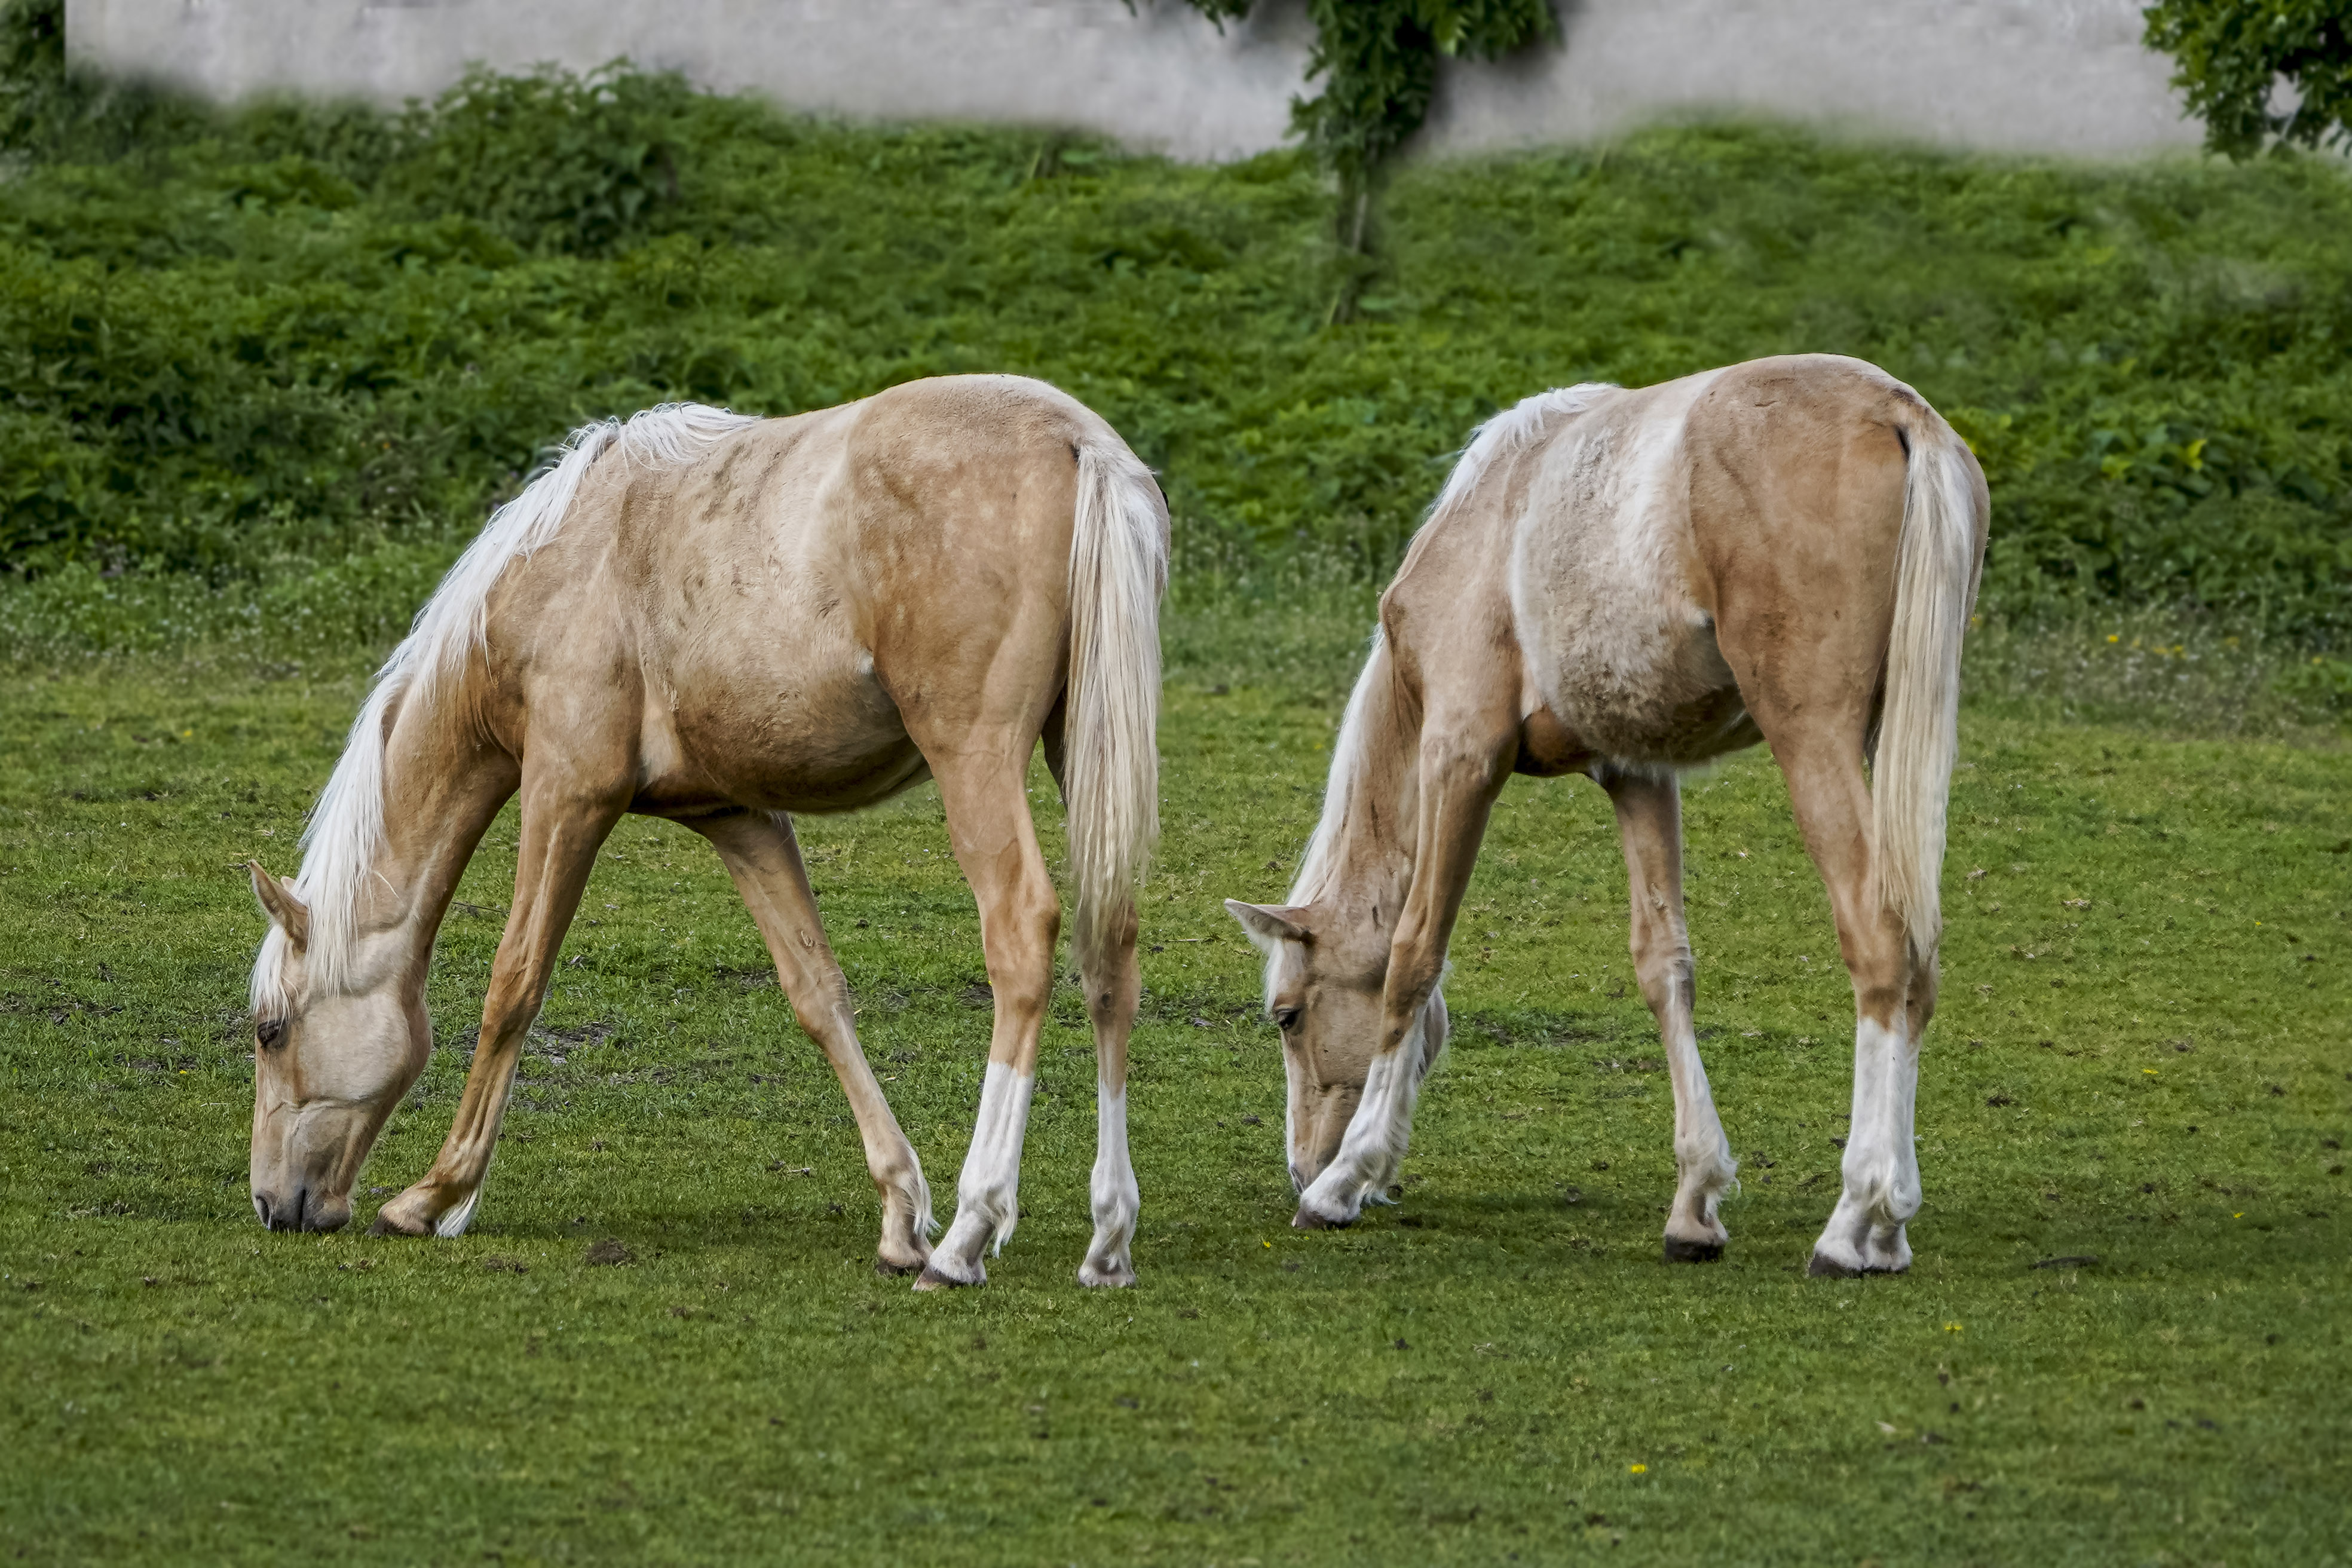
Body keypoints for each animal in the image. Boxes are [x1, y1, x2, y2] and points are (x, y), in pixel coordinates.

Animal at [244, 374, 1167, 1291]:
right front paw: (900, 1211)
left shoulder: (565, 795)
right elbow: (817, 994)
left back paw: (969, 1235)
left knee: (1022, 933)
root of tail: (1078, 441)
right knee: (1111, 952)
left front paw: (434, 1196)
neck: (560, 568)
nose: (271, 1205)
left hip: (974, 760)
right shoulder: (737, 817)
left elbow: (515, 985)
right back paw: (1108, 1238)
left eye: (271, 1030)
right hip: (1080, 752)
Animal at [1225, 354, 1987, 1276]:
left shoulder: (1461, 755)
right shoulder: (1636, 771)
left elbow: (1413, 954)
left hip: (1814, 738)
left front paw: (1347, 1182)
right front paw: (1695, 1203)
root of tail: (1900, 412)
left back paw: (1855, 1220)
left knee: (1881, 946)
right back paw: (1890, 1228)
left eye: (1288, 1015)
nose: (1303, 1168)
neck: (1486, 518)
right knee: (1920, 962)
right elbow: (1665, 966)